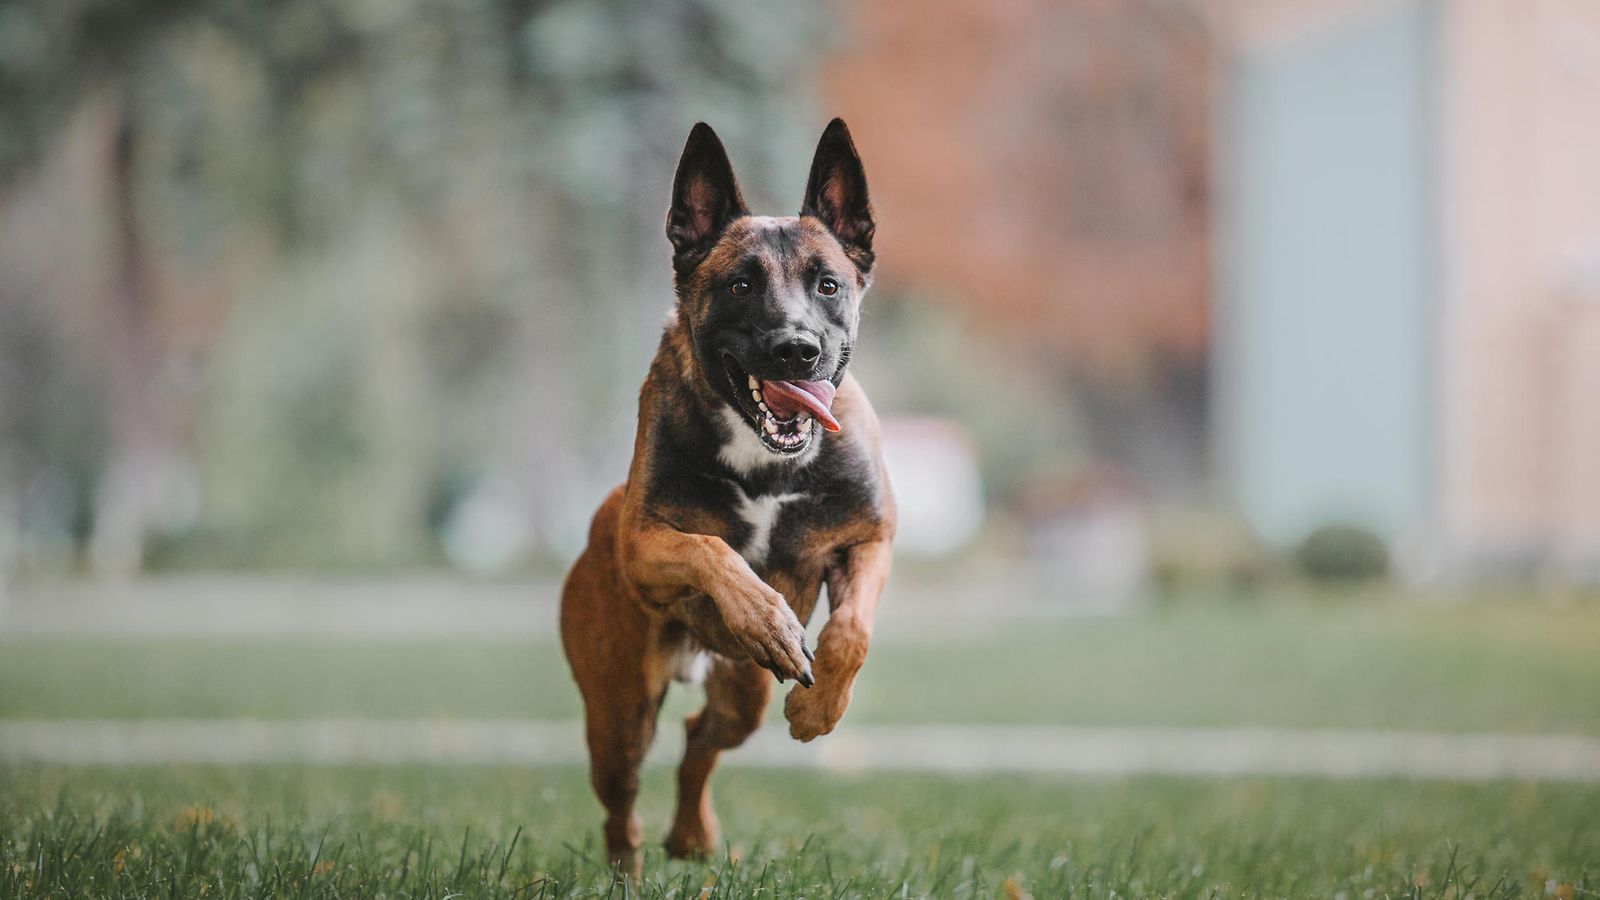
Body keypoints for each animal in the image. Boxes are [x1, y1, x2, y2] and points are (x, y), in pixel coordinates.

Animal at [556, 119, 896, 871]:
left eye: (828, 284)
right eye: (740, 284)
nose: (797, 350)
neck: (767, 458)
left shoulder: (869, 538)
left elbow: (852, 631)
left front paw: (820, 709)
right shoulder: (644, 545)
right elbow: (713, 550)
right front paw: (765, 617)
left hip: (742, 694)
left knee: (698, 742)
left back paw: (691, 836)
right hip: (620, 711)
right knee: (622, 799)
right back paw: (628, 866)